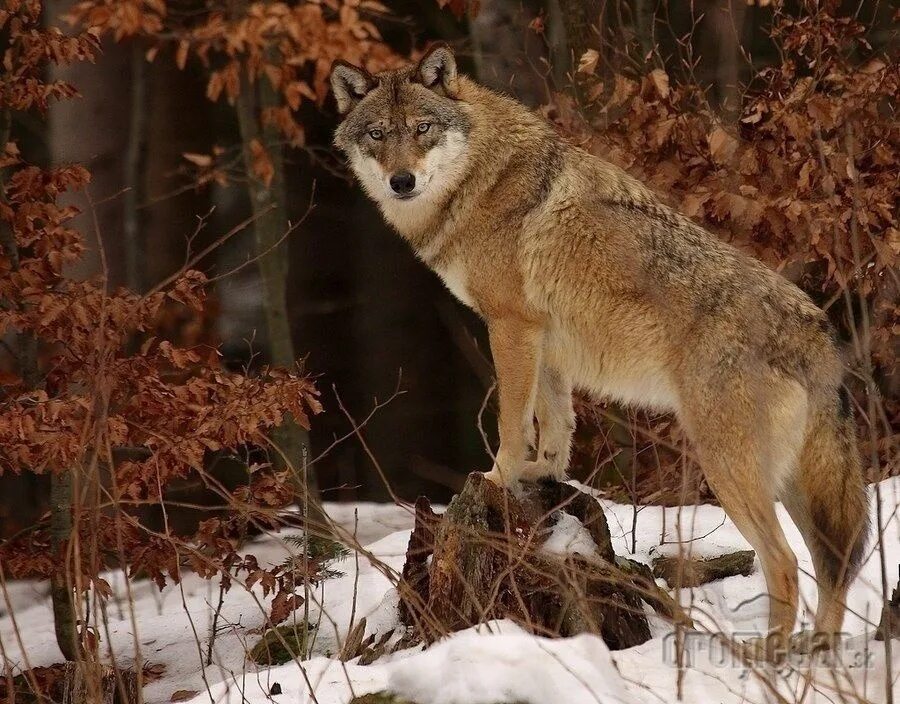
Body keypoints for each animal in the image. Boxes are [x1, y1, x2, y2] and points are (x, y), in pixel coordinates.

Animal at [328, 42, 864, 648]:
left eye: (422, 128)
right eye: (378, 134)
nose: (401, 181)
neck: (479, 180)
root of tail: (818, 329)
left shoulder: (511, 326)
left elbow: (512, 419)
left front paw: (498, 477)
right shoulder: (546, 340)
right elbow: (556, 422)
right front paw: (545, 475)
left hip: (729, 471)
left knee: (787, 565)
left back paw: (770, 656)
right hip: (792, 484)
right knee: (832, 568)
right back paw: (816, 652)